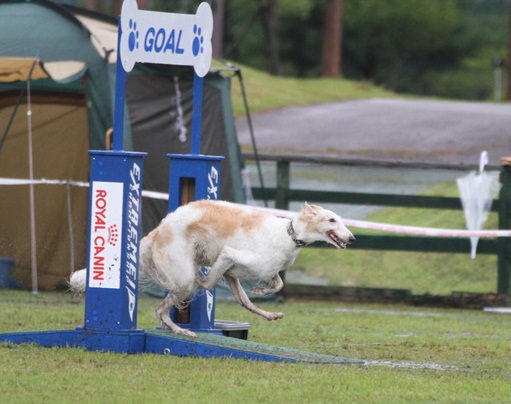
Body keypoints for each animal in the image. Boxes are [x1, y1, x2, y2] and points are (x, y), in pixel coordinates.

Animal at [71, 200, 356, 338]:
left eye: (341, 220)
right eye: (332, 220)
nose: (352, 238)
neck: (288, 234)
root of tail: (157, 231)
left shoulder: (236, 272)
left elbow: (276, 284)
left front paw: (263, 292)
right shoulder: (230, 256)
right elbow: (208, 283)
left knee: (243, 302)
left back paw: (269, 314)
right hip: (183, 276)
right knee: (164, 307)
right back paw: (181, 330)